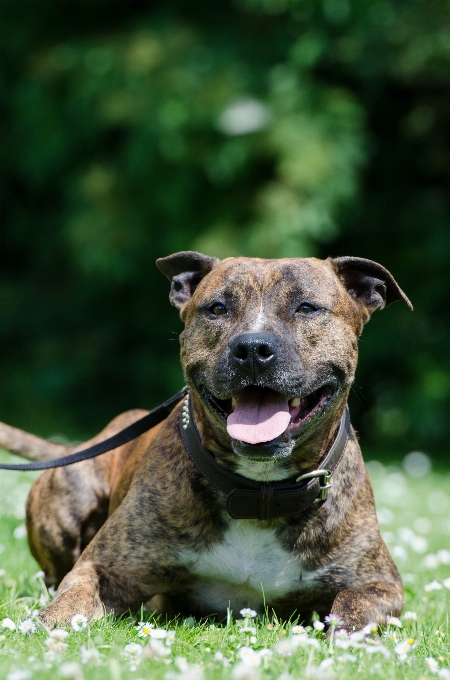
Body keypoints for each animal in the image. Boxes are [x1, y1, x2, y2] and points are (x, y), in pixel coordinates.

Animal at [0, 252, 412, 628]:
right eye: (217, 308)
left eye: (306, 307)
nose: (252, 348)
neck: (258, 493)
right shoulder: (103, 568)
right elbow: (68, 604)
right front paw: (43, 627)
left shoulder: (380, 583)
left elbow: (353, 608)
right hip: (70, 495)